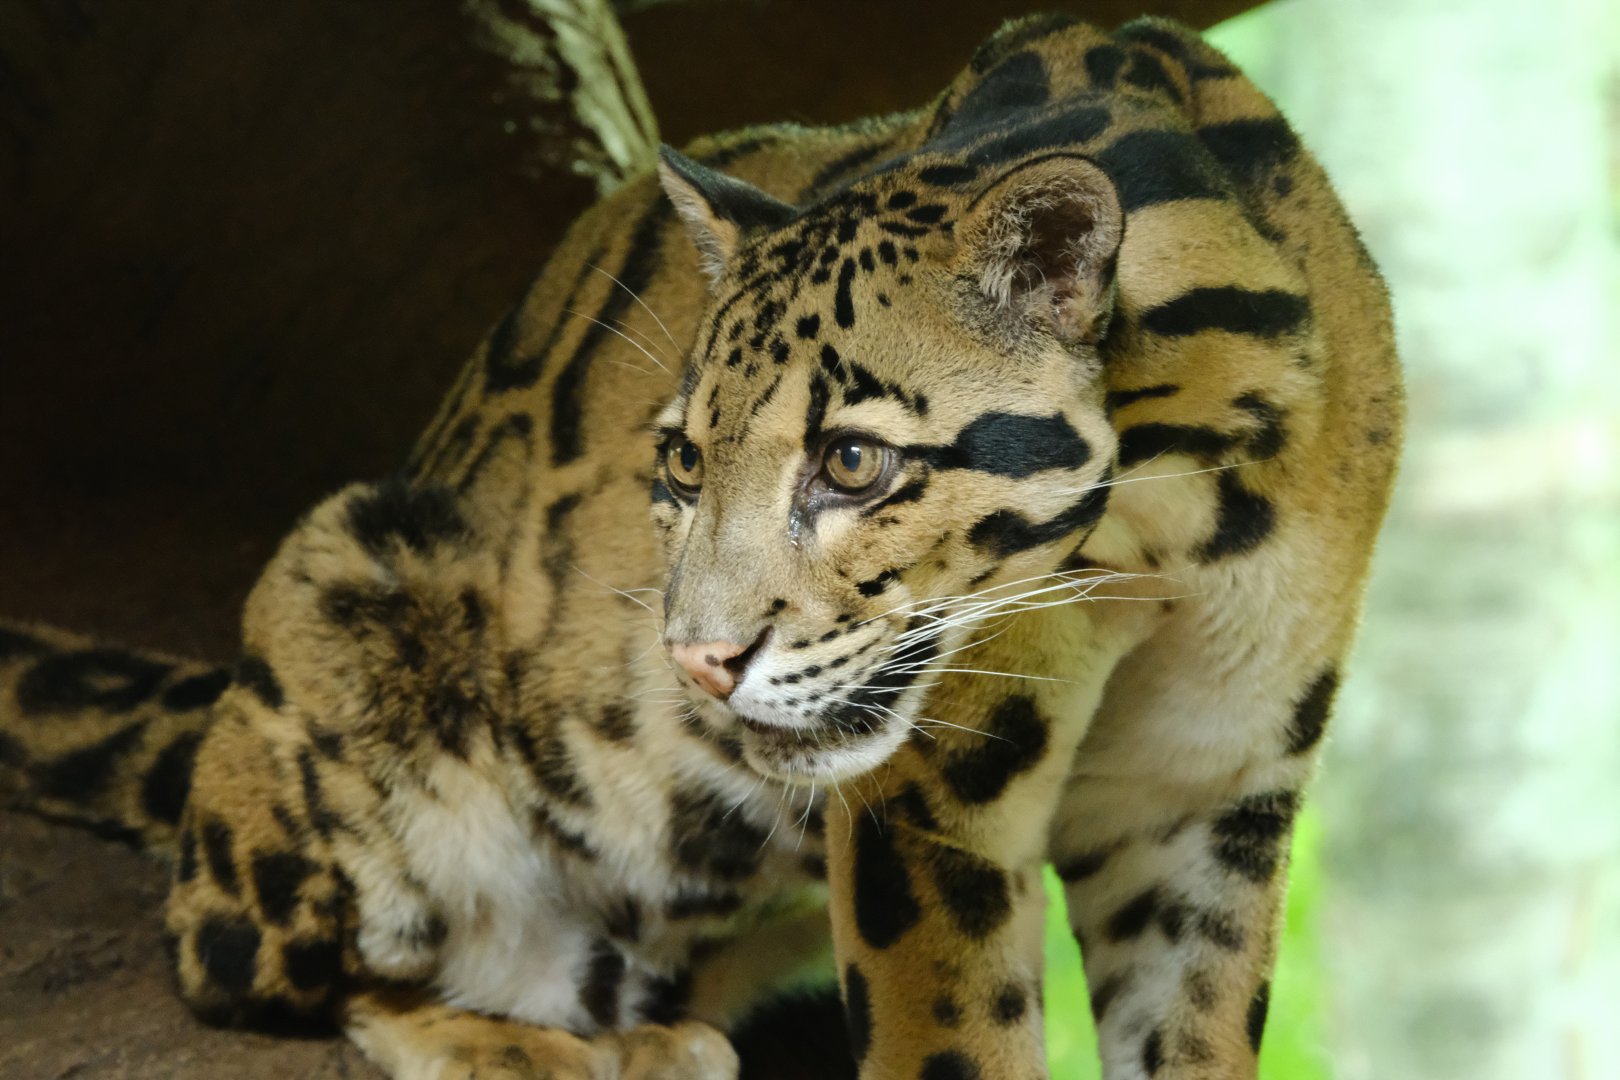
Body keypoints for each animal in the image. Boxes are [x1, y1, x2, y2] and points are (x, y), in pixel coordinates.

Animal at [0, 14, 1401, 1080]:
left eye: (851, 463)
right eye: (681, 462)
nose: (696, 663)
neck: (1183, 519)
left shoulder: (1208, 790)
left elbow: (1194, 1034)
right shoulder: (935, 801)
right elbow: (954, 1042)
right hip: (346, 567)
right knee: (249, 959)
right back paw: (534, 1052)